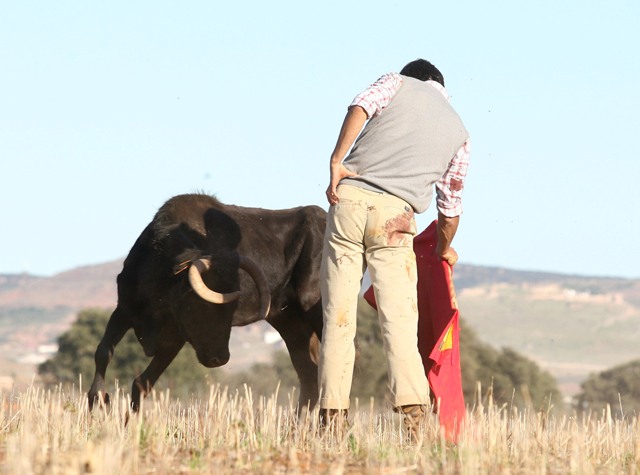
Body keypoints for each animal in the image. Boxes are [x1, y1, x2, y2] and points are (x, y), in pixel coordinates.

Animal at [88, 193, 328, 412]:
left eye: (232, 310)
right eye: (202, 305)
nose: (218, 359)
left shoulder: (174, 338)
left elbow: (142, 382)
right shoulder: (123, 311)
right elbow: (104, 352)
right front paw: (97, 398)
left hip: (314, 308)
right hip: (291, 323)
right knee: (309, 375)